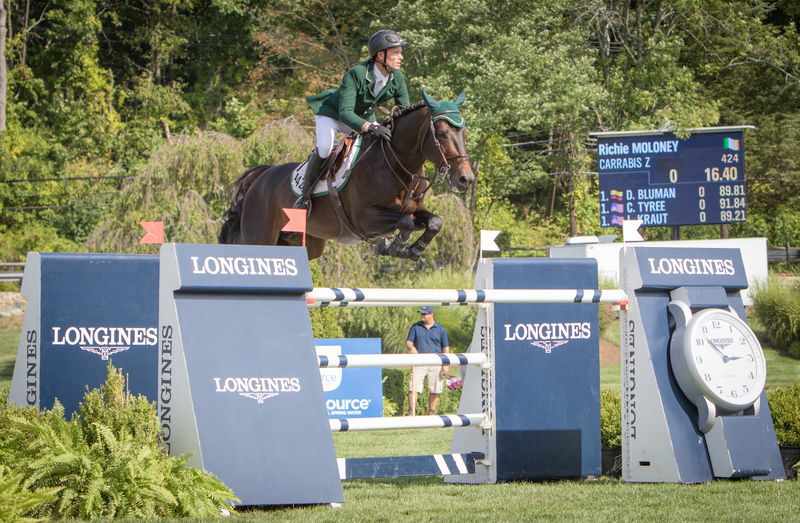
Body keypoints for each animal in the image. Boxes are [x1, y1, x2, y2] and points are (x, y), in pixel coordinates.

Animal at [216, 92, 472, 262]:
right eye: (441, 133)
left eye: (464, 132)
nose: (465, 179)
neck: (394, 163)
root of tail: (262, 177)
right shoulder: (364, 219)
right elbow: (406, 222)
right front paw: (395, 247)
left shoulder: (414, 210)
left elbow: (434, 222)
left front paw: (410, 250)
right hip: (260, 235)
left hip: (305, 242)